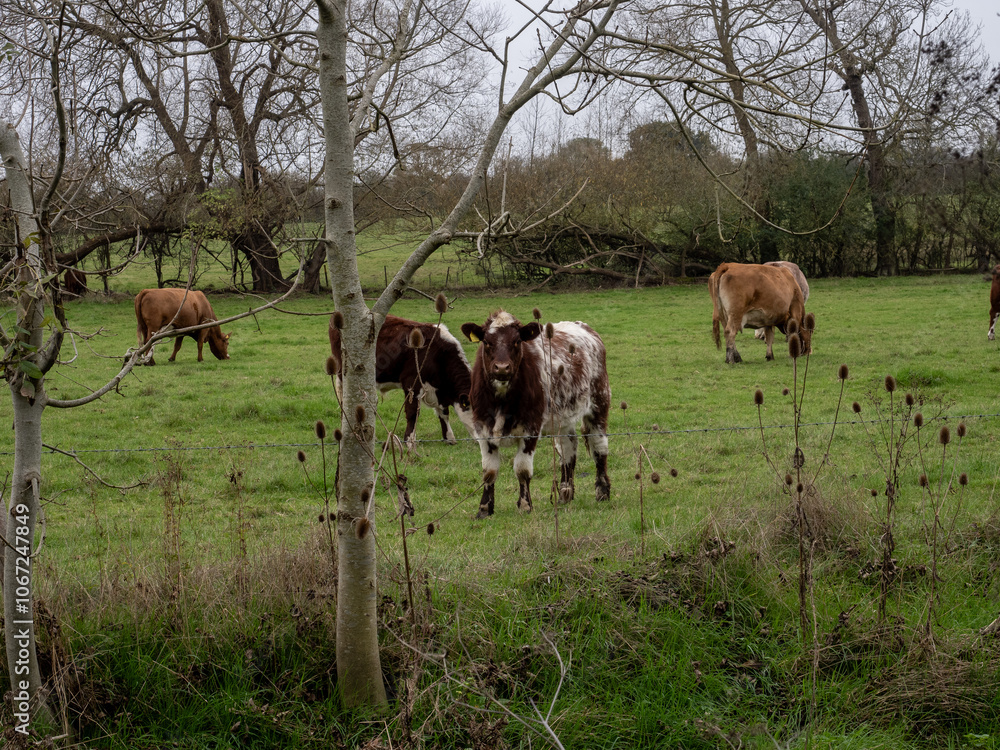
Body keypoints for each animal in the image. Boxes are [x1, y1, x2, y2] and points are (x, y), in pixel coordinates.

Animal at [328, 315, 474, 449]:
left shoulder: (438, 389)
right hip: (345, 374)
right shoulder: (412, 383)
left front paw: (449, 437)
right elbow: (413, 413)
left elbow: (443, 412)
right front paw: (410, 441)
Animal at [460, 310, 611, 519]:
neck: (501, 400)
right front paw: (484, 509)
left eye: (517, 341)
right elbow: (489, 472)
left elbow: (522, 470)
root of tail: (583, 327)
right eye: (487, 342)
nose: (502, 368)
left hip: (599, 402)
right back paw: (565, 493)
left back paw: (602, 491)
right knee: (568, 448)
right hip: (562, 417)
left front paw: (525, 505)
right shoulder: (482, 428)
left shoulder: (530, 428)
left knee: (599, 447)